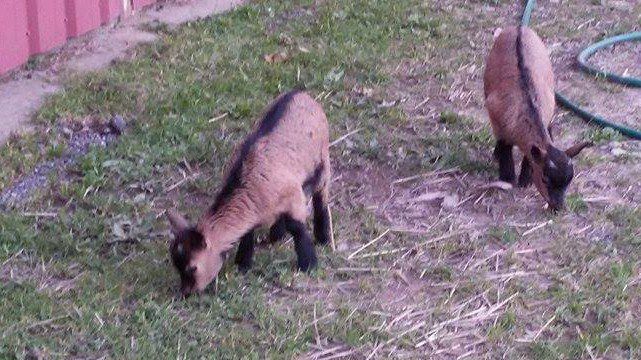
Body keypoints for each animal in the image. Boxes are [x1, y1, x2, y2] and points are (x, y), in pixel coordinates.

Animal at [482, 26, 588, 211]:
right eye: (545, 178)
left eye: (569, 181)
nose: (557, 206)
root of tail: (519, 27)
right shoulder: (498, 121)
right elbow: (505, 148)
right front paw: (507, 179)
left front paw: (525, 180)